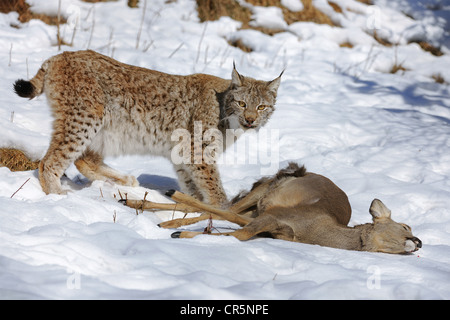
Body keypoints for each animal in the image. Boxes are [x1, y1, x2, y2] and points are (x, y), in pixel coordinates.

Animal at [123, 164, 422, 254]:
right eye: (405, 225)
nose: (418, 242)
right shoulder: (274, 215)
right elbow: (231, 224)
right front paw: (179, 233)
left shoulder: (270, 224)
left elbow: (237, 232)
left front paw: (181, 232)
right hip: (265, 190)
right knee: (223, 206)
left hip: (257, 205)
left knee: (219, 210)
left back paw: (139, 205)